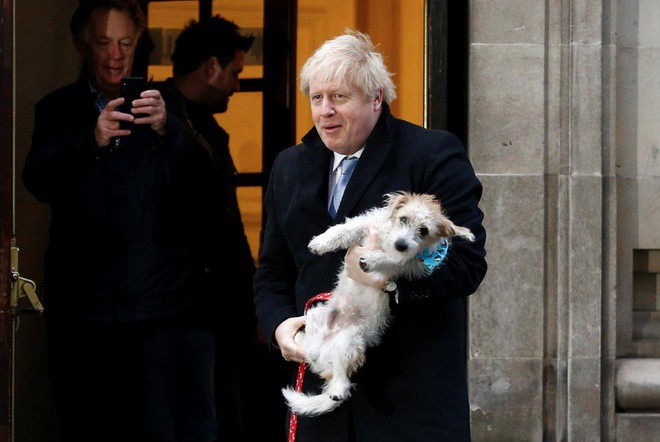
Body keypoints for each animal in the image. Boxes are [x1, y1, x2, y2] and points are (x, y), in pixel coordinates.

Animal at [282, 192, 474, 416]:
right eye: (403, 219)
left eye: (424, 231)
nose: (401, 244)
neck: (387, 241)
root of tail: (316, 353)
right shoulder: (368, 224)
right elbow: (345, 229)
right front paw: (321, 242)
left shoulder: (411, 264)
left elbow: (393, 260)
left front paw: (373, 260)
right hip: (315, 317)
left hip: (348, 342)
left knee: (343, 381)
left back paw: (337, 390)